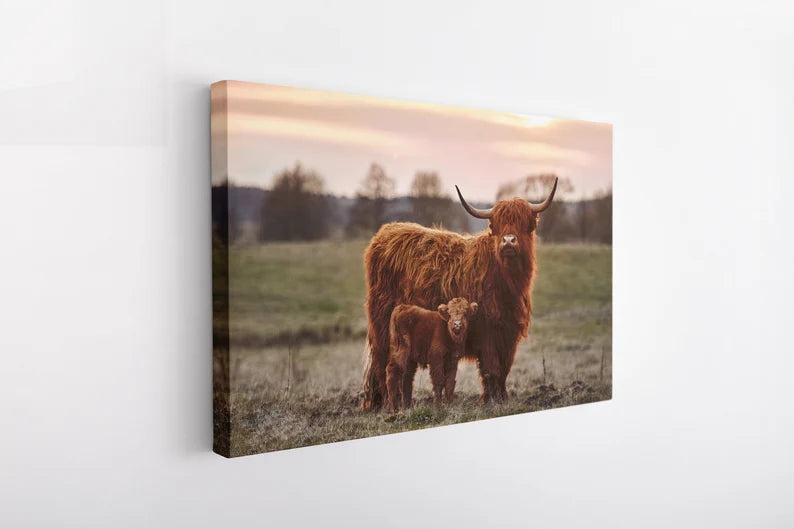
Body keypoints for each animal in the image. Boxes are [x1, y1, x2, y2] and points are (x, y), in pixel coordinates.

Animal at [361, 178, 557, 409]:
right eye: (496, 225)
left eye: (525, 223)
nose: (509, 241)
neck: (506, 281)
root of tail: (385, 233)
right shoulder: (487, 331)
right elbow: (492, 368)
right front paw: (491, 400)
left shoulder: (508, 333)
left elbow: (504, 369)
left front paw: (502, 397)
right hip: (382, 325)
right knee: (382, 363)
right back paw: (386, 404)